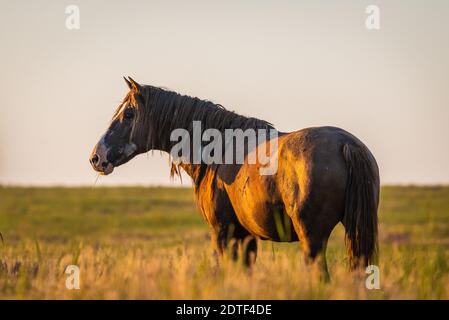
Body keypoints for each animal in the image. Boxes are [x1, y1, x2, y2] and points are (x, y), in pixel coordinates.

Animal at [90, 77, 378, 278]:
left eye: (128, 114)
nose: (96, 157)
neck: (219, 149)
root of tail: (346, 144)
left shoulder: (223, 232)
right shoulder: (246, 236)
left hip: (312, 238)